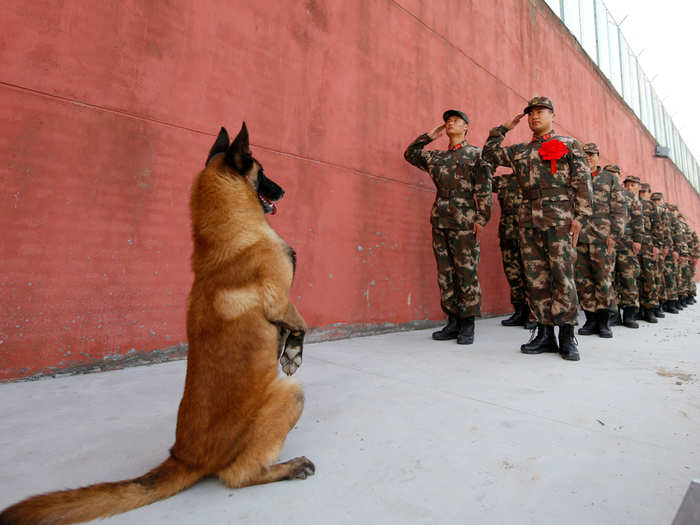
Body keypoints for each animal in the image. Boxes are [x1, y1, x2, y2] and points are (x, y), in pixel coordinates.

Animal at [2, 124, 314, 524]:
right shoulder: (278, 298)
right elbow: (299, 321)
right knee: (238, 475)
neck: (230, 232)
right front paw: (293, 353)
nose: (284, 190)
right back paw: (287, 468)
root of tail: (184, 457)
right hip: (289, 396)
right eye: (264, 172)